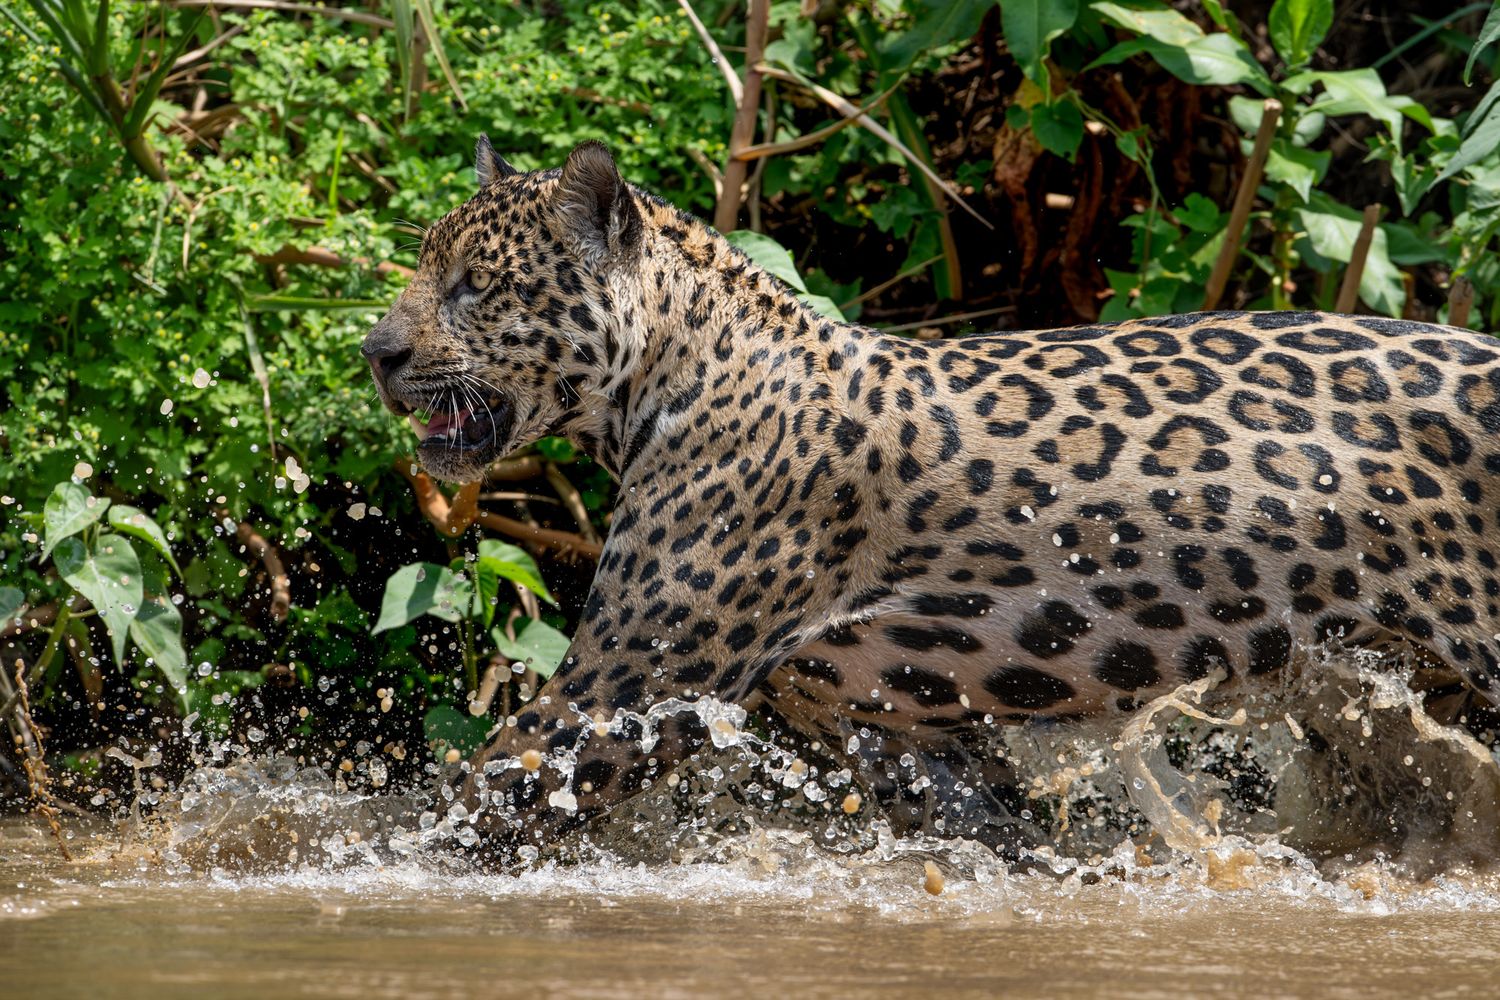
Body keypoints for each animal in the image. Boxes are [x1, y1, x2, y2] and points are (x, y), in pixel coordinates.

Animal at [361, 138, 1500, 859]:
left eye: (474, 285)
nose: (376, 352)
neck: (668, 378)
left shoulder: (626, 690)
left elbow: (472, 806)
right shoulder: (889, 726)